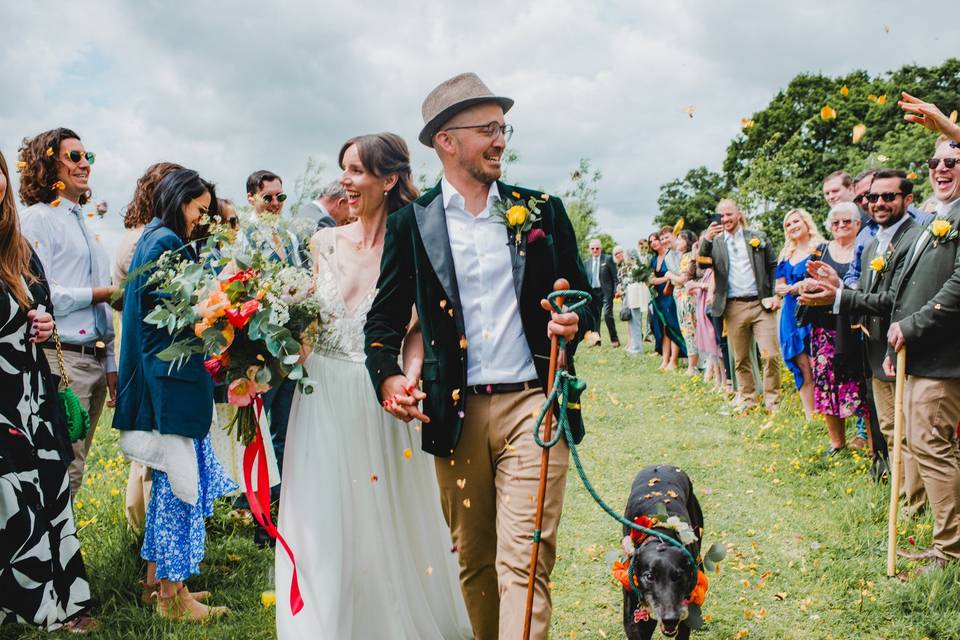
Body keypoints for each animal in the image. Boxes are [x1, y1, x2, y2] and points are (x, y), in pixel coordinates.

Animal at [620, 464, 700, 640]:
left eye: (678, 575)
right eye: (649, 576)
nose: (670, 619)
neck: (659, 535)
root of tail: (661, 466)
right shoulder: (634, 620)